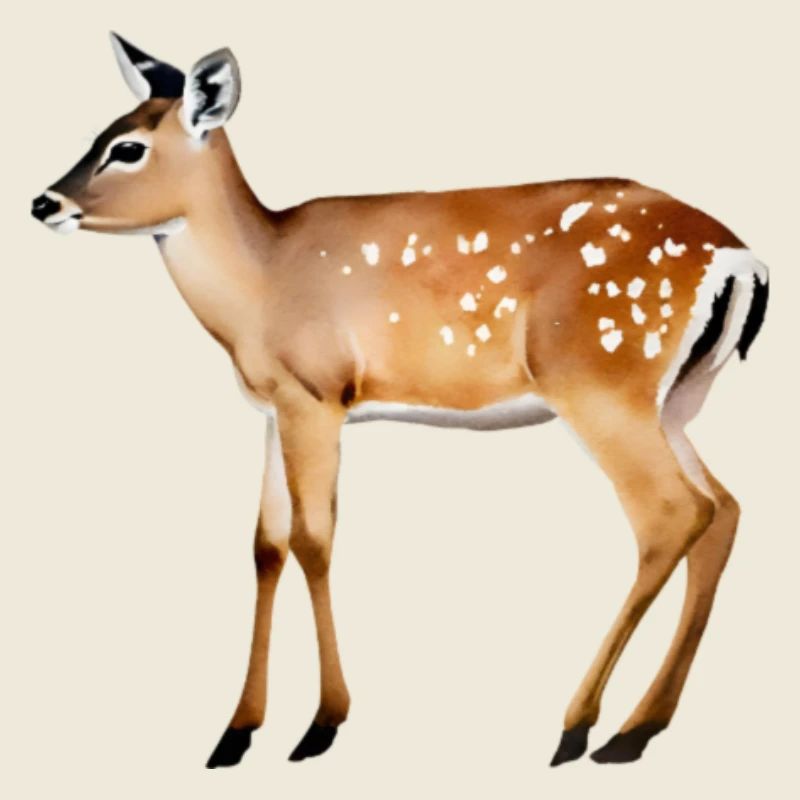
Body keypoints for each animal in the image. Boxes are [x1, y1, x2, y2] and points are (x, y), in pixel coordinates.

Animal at [31, 33, 768, 769]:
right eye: (100, 132)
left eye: (128, 147)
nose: (43, 203)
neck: (258, 284)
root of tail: (744, 260)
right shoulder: (273, 407)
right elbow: (265, 545)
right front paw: (235, 734)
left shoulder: (316, 393)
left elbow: (314, 539)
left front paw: (321, 724)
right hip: (674, 399)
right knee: (723, 509)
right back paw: (639, 728)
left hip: (600, 383)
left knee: (672, 514)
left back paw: (580, 727)